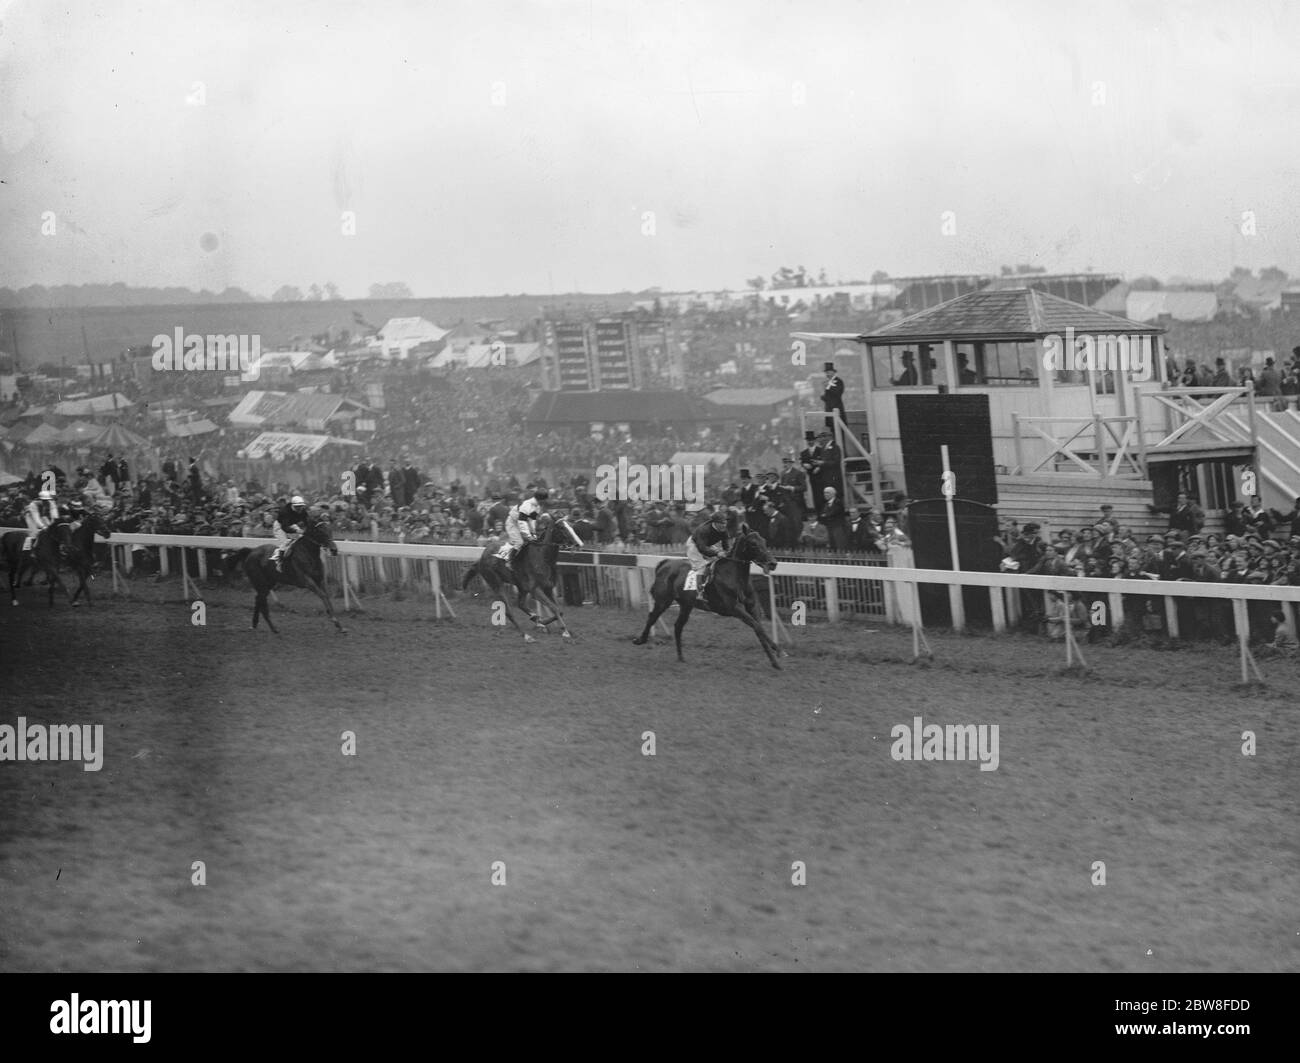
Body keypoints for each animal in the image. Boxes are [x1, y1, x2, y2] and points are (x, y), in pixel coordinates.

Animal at [457, 512, 579, 641]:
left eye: (571, 525)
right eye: (561, 527)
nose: (577, 543)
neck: (542, 556)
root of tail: (482, 557)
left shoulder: (548, 588)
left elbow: (559, 610)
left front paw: (545, 623)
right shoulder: (535, 589)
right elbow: (554, 608)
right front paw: (565, 632)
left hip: (521, 586)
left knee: (520, 604)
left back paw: (537, 620)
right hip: (496, 582)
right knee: (509, 611)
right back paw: (526, 635)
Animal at [631, 525, 780, 665]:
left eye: (764, 541)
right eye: (753, 543)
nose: (773, 563)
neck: (734, 575)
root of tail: (665, 563)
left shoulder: (752, 606)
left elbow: (758, 627)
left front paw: (775, 658)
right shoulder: (734, 608)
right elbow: (756, 626)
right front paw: (777, 652)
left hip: (686, 605)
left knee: (678, 626)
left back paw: (681, 657)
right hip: (663, 601)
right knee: (652, 617)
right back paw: (640, 640)